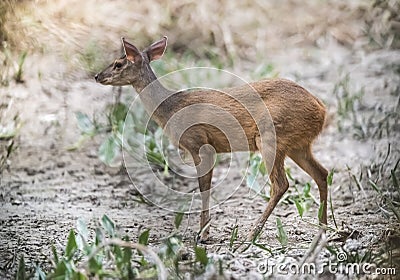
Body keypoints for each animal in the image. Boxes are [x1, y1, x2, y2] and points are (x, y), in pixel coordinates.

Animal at [94, 35, 328, 241]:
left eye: (118, 64)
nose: (97, 76)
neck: (171, 108)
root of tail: (321, 108)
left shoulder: (199, 143)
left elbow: (203, 188)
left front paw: (203, 235)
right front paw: (202, 232)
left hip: (270, 136)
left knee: (281, 184)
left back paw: (251, 236)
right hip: (298, 145)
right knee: (322, 173)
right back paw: (323, 229)